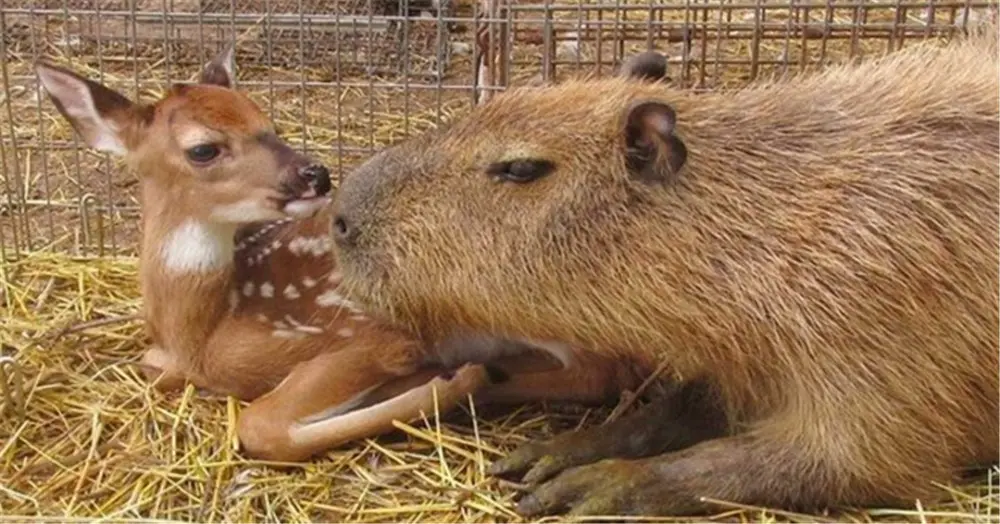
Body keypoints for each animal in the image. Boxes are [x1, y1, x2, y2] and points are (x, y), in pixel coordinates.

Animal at [35, 46, 644, 462]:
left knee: (597, 372)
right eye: (204, 149)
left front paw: (446, 382)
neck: (203, 329)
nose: (316, 173)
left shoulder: (362, 335)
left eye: (267, 120)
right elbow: (155, 369)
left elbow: (259, 425)